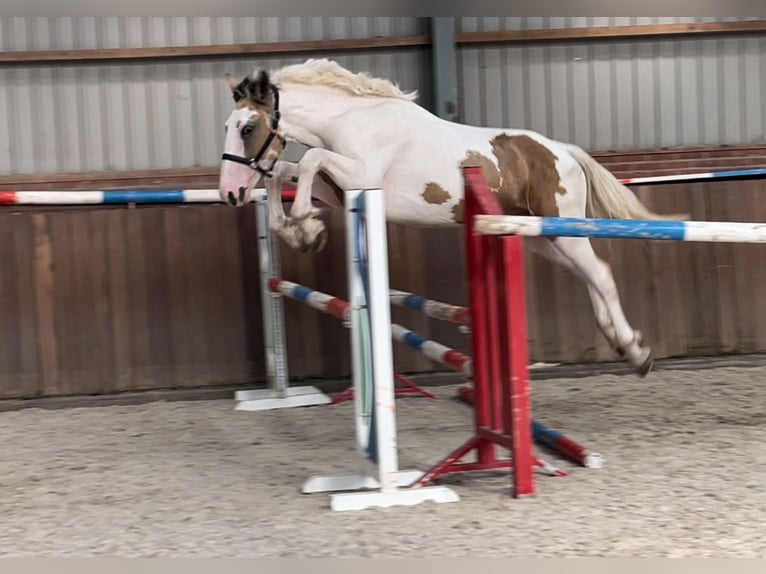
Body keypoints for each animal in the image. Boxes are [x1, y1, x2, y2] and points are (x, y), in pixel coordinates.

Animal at [218, 58, 684, 378]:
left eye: (247, 128)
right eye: (229, 126)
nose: (230, 193)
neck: (351, 120)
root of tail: (563, 152)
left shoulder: (359, 176)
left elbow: (308, 158)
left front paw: (305, 225)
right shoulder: (339, 188)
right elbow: (284, 171)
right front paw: (304, 231)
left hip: (561, 230)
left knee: (600, 273)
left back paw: (637, 352)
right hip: (541, 237)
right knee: (588, 274)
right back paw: (620, 341)